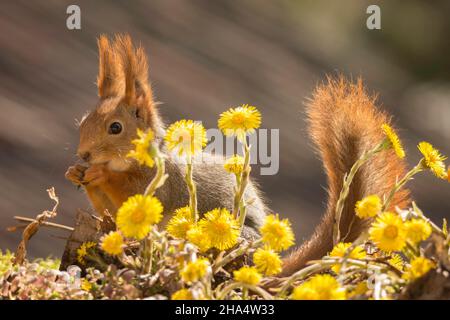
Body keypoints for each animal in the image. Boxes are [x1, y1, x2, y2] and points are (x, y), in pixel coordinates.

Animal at [65, 34, 410, 276]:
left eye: (115, 127)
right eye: (82, 121)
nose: (84, 153)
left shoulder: (163, 184)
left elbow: (134, 193)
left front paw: (100, 174)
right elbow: (111, 213)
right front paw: (77, 173)